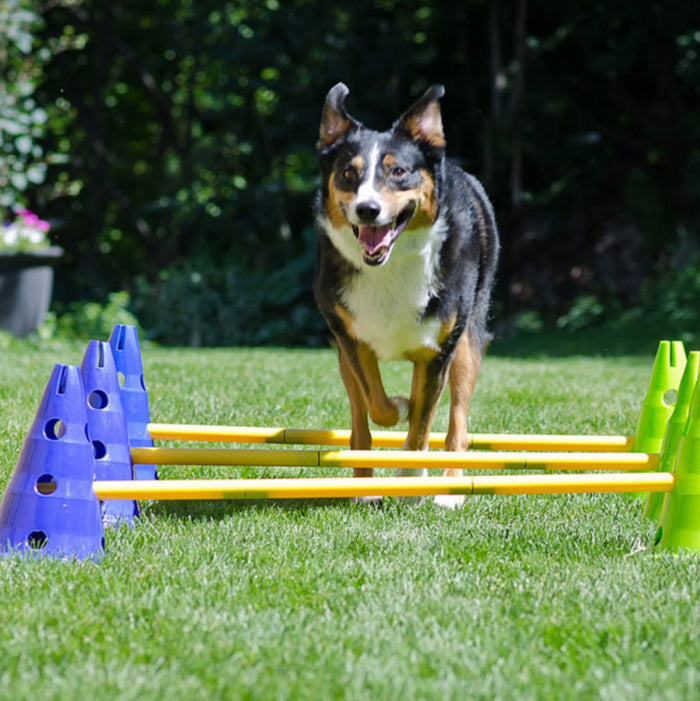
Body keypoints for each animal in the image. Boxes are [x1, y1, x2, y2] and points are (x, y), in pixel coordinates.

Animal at [312, 85, 498, 506]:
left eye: (398, 171)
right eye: (348, 173)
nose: (367, 209)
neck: (390, 266)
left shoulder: (438, 351)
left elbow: (422, 425)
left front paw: (412, 480)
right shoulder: (350, 338)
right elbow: (378, 406)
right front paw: (397, 407)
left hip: (467, 344)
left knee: (457, 426)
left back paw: (450, 488)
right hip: (343, 356)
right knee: (360, 422)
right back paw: (364, 486)